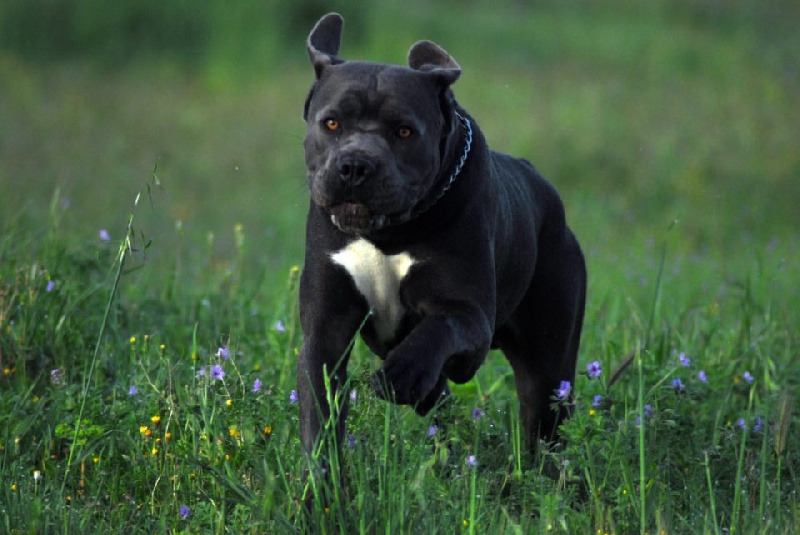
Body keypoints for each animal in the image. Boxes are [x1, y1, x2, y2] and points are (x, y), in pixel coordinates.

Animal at [297, 13, 586, 472]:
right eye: (331, 123)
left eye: (404, 131)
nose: (356, 165)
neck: (389, 234)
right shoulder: (326, 328)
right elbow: (319, 415)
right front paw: (322, 482)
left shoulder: (471, 318)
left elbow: (440, 326)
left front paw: (404, 371)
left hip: (549, 361)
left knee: (544, 420)